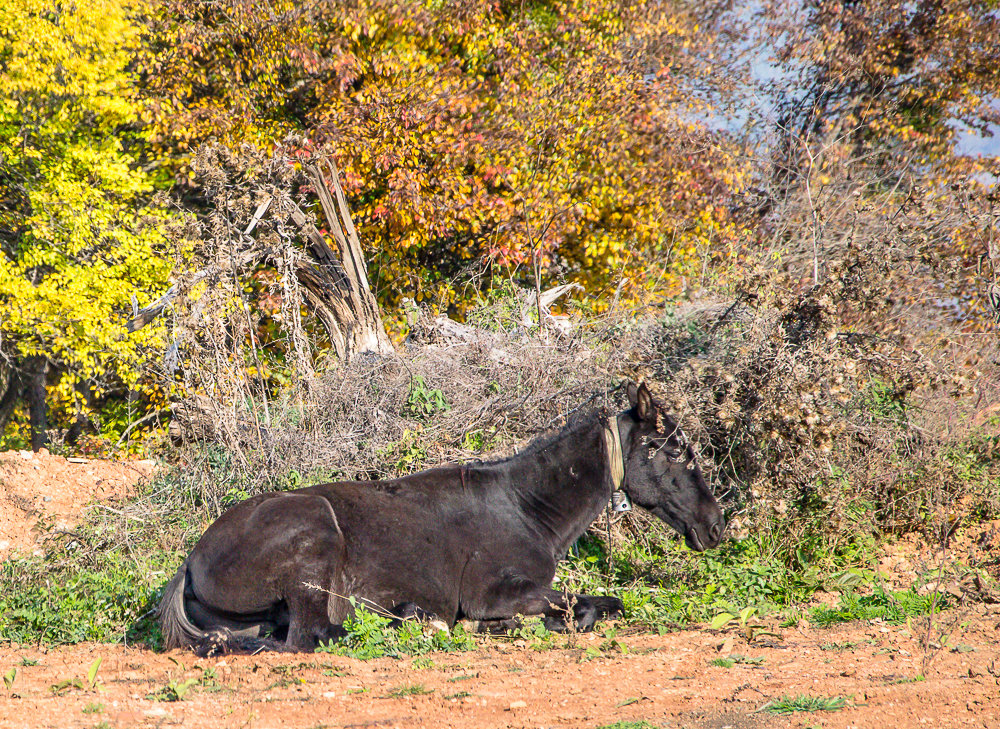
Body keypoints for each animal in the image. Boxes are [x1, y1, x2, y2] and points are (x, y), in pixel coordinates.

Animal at [156, 384, 724, 652]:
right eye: (674, 451)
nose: (715, 526)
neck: (525, 509)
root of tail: (191, 560)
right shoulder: (494, 592)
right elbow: (586, 606)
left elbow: (600, 603)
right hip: (314, 537)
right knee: (311, 636)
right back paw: (419, 621)